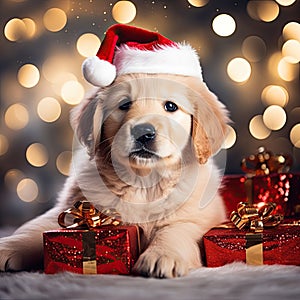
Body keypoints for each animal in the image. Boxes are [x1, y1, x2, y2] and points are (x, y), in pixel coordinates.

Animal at [0, 72, 229, 276]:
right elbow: (34, 228)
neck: (143, 181)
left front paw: (161, 256)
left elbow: (176, 230)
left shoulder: (201, 217)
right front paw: (6, 247)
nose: (143, 132)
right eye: (125, 104)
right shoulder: (68, 208)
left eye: (171, 106)